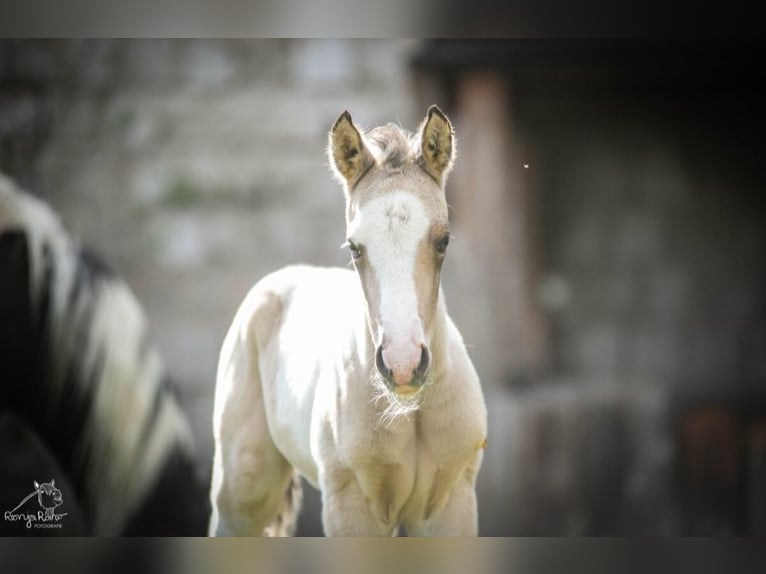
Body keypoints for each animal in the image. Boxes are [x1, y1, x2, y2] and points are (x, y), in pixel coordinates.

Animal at [209, 106, 488, 536]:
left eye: (443, 240)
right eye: (355, 247)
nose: (403, 365)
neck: (410, 413)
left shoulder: (450, 504)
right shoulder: (350, 504)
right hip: (243, 488)